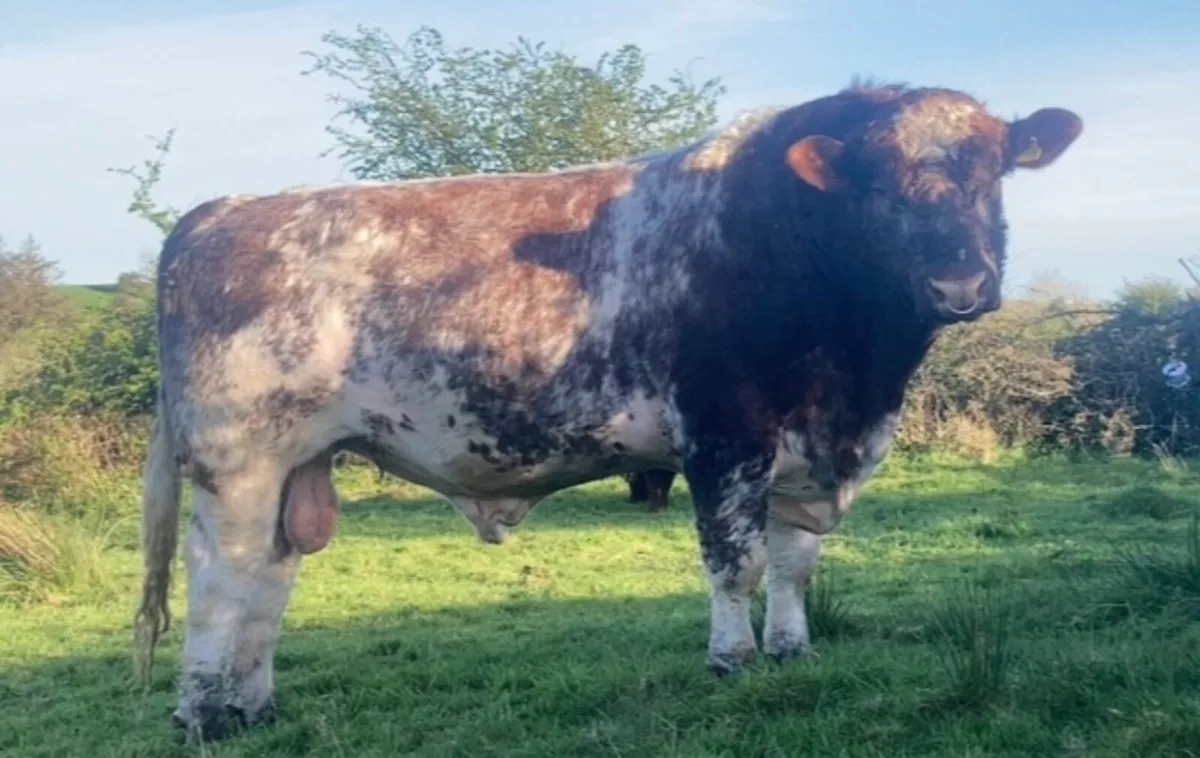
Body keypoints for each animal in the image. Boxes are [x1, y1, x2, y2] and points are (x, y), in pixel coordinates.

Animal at [133, 80, 1081, 740]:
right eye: (882, 183)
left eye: (993, 172)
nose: (959, 284)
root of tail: (222, 212)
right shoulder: (724, 437)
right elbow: (734, 563)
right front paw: (733, 661)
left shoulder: (802, 452)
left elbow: (793, 565)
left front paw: (791, 651)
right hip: (237, 463)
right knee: (218, 584)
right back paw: (203, 716)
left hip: (297, 467)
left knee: (266, 586)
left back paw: (255, 708)